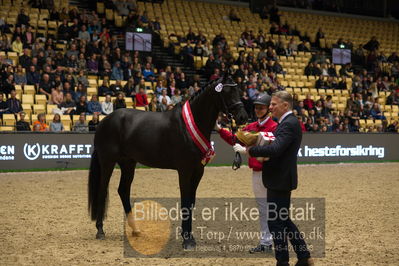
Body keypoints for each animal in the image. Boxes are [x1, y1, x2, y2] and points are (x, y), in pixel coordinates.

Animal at [89, 75, 248, 249]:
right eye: (227, 91)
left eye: (238, 90)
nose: (243, 117)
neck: (189, 126)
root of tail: (104, 121)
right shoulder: (185, 170)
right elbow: (185, 201)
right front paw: (187, 240)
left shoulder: (198, 171)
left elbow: (191, 202)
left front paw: (190, 236)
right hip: (108, 162)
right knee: (102, 190)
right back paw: (100, 230)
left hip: (128, 163)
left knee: (123, 190)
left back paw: (136, 229)